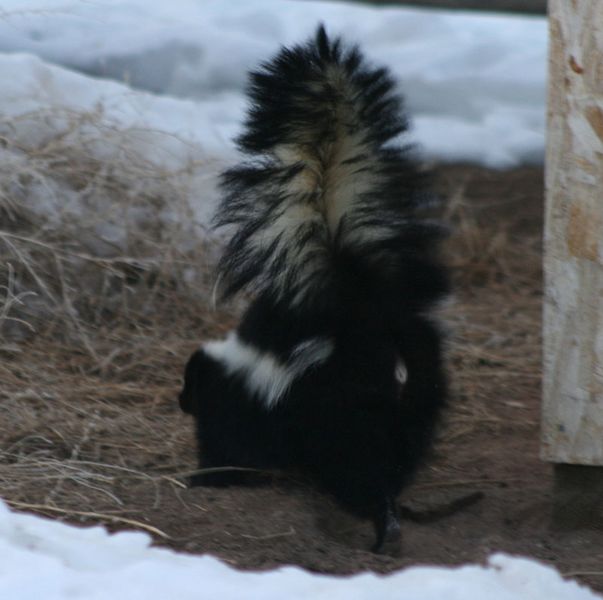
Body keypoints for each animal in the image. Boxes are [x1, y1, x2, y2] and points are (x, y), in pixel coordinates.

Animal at [179, 27, 448, 552]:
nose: (179, 400)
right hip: (414, 390)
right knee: (401, 446)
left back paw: (381, 522)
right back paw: (391, 512)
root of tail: (361, 310)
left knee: (359, 468)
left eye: (189, 383)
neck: (239, 366)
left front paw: (206, 479)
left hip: (343, 412)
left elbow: (228, 448)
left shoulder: (245, 408)